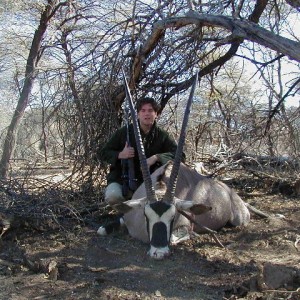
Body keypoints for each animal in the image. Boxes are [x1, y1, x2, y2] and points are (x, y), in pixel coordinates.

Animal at [97, 72, 250, 260]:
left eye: (173, 216)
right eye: (146, 216)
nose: (158, 252)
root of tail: (228, 190)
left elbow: (180, 236)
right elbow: (102, 229)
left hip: (240, 219)